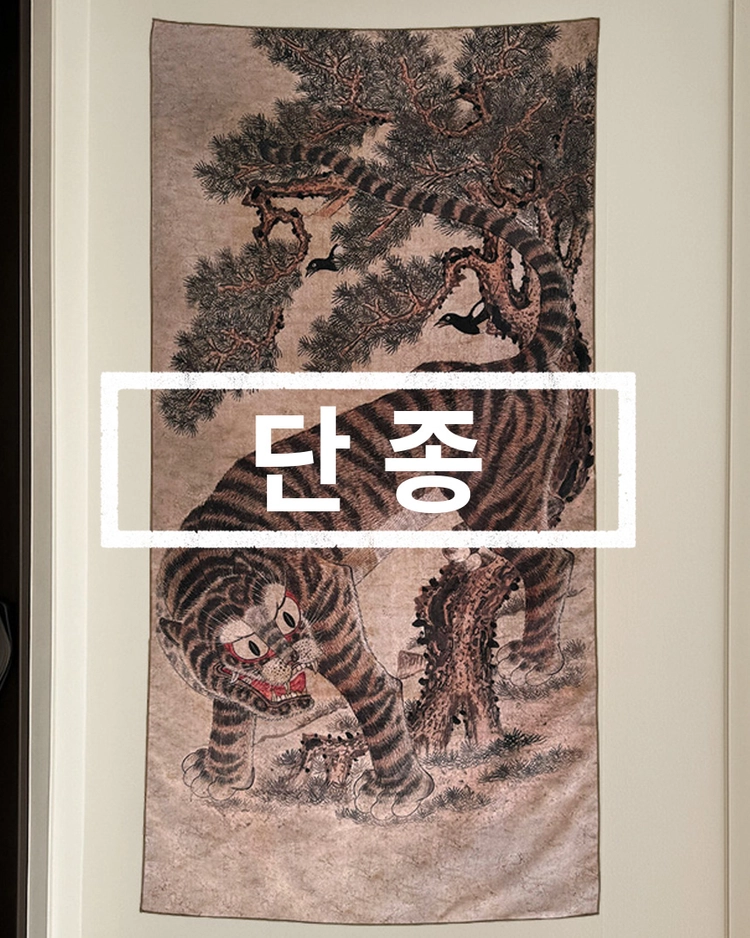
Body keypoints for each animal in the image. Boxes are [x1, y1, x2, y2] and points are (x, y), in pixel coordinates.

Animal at [155, 143, 591, 819]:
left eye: (288, 620)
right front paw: (223, 775)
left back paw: (538, 660)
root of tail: (508, 363)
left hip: (497, 502)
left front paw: (397, 794)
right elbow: (230, 707)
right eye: (250, 648)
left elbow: (374, 693)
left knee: (553, 560)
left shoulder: (328, 601)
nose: (295, 653)